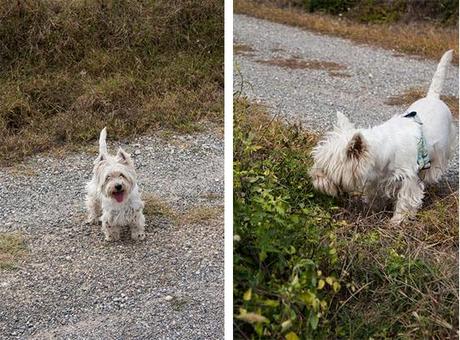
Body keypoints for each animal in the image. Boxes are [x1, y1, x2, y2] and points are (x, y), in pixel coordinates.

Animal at [310, 48, 456, 223]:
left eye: (325, 168)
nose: (313, 178)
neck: (384, 151)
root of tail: (433, 97)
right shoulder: (376, 178)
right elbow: (375, 194)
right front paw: (373, 208)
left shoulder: (408, 178)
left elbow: (406, 199)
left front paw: (397, 220)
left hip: (442, 150)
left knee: (433, 170)